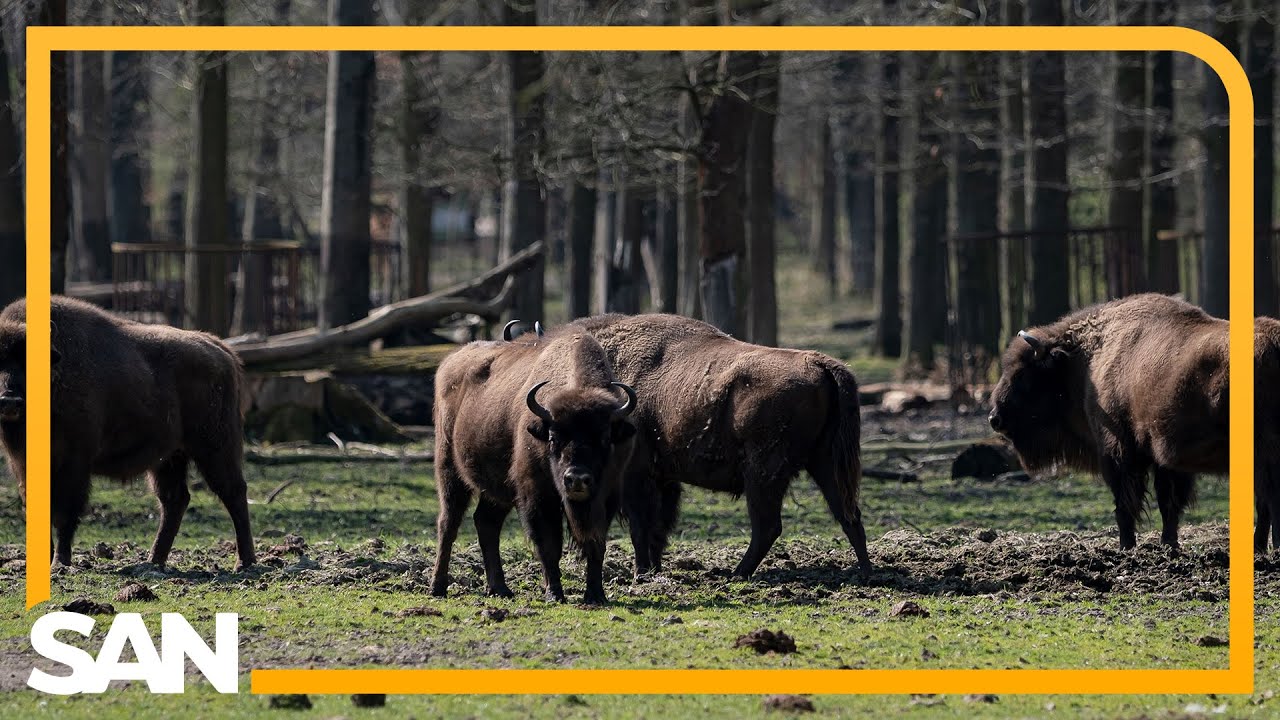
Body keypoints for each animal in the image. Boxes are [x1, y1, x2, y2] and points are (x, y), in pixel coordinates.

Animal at [0, 296, 255, 569]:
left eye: (26, 360)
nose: (9, 401)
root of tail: (221, 349)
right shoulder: (24, 465)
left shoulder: (74, 462)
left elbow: (64, 513)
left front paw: (60, 562)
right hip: (169, 458)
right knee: (175, 500)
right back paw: (154, 560)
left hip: (215, 448)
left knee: (233, 492)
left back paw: (244, 562)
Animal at [430, 330, 637, 603]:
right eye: (553, 437)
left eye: (604, 438)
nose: (577, 479)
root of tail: (450, 361)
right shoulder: (536, 495)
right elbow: (549, 545)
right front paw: (554, 594)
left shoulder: (607, 496)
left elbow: (596, 544)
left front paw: (595, 595)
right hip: (449, 470)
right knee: (448, 524)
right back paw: (438, 587)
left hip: (498, 490)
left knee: (486, 523)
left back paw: (500, 588)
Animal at [562, 313, 869, 580]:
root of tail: (820, 362)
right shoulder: (663, 478)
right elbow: (657, 527)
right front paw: (654, 570)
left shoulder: (636, 476)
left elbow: (642, 526)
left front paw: (642, 573)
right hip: (825, 463)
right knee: (849, 515)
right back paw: (866, 573)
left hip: (764, 472)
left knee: (768, 525)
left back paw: (736, 574)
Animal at [988, 292, 1280, 552]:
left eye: (1023, 374)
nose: (994, 418)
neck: (1089, 357)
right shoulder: (1166, 459)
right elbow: (1168, 503)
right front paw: (1168, 544)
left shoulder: (1119, 450)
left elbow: (1126, 502)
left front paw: (1126, 546)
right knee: (1265, 502)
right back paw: (1258, 548)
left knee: (1269, 499)